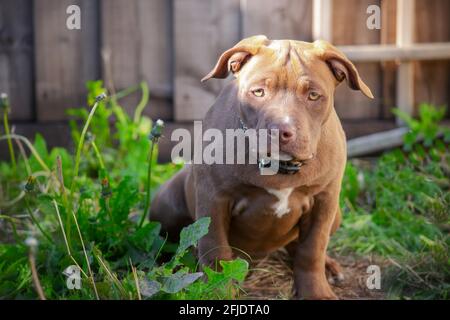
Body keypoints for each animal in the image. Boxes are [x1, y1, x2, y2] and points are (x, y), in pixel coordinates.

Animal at [151, 35, 372, 300]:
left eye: (313, 95)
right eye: (258, 92)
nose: (281, 130)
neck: (280, 167)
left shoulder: (324, 201)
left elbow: (312, 249)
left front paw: (316, 291)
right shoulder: (213, 199)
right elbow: (215, 250)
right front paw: (219, 291)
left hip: (336, 213)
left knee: (297, 247)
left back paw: (329, 267)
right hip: (166, 204)